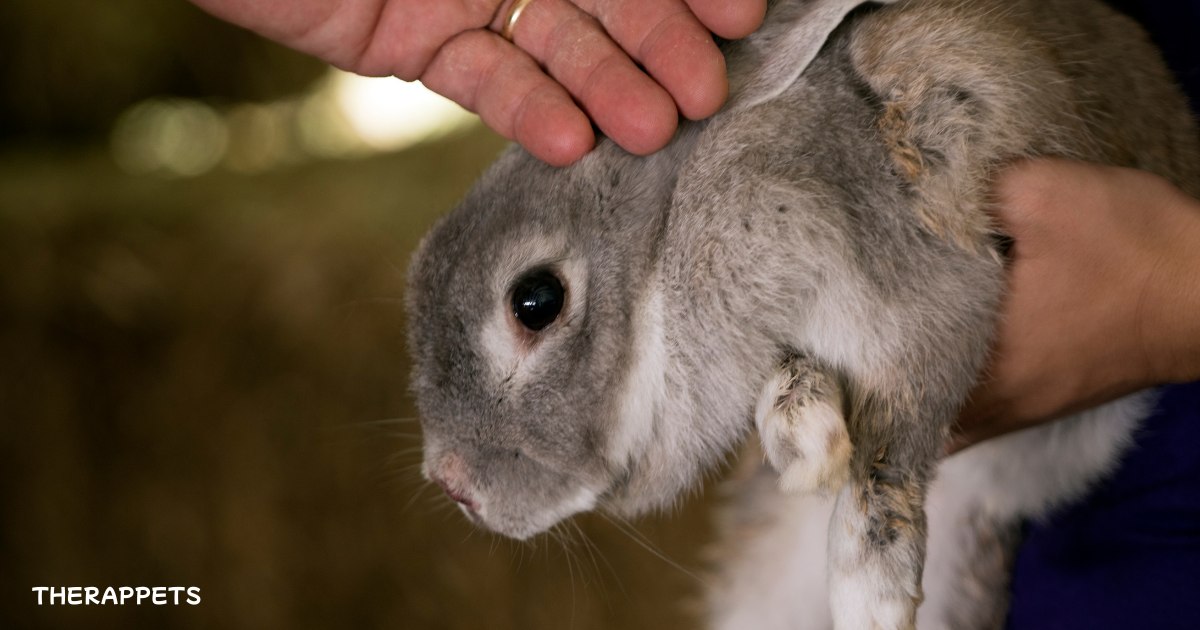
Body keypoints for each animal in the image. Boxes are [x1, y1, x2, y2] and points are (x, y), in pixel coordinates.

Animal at [405, 0, 1200, 624]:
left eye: (536, 301)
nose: (454, 485)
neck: (667, 246)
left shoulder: (925, 293)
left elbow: (893, 441)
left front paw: (869, 596)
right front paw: (805, 434)